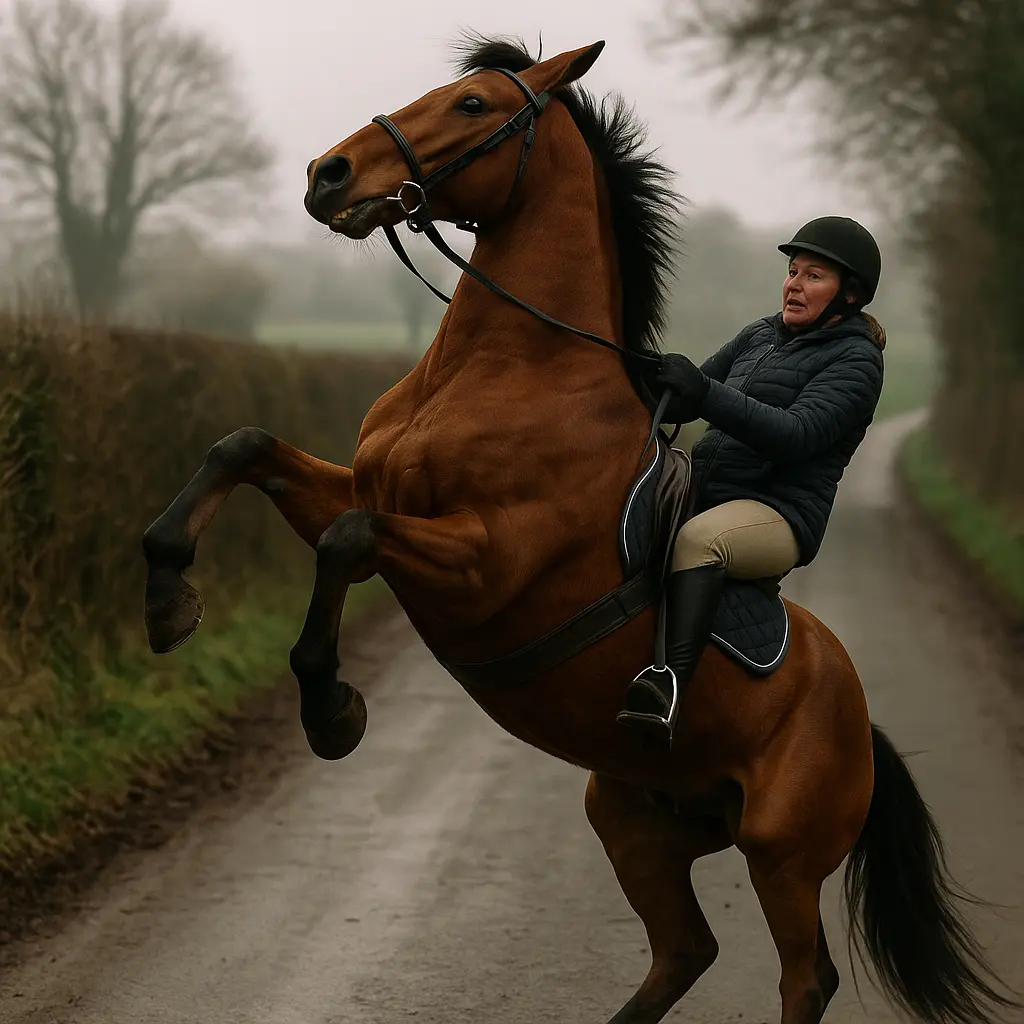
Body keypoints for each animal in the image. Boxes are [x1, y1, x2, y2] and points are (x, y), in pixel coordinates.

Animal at [141, 35, 1018, 1024]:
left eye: (474, 104)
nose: (328, 175)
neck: (508, 368)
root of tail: (861, 720)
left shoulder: (482, 563)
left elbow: (350, 539)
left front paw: (333, 710)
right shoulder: (364, 489)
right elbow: (244, 448)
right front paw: (167, 598)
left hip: (782, 856)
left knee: (805, 975)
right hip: (634, 818)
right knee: (684, 950)